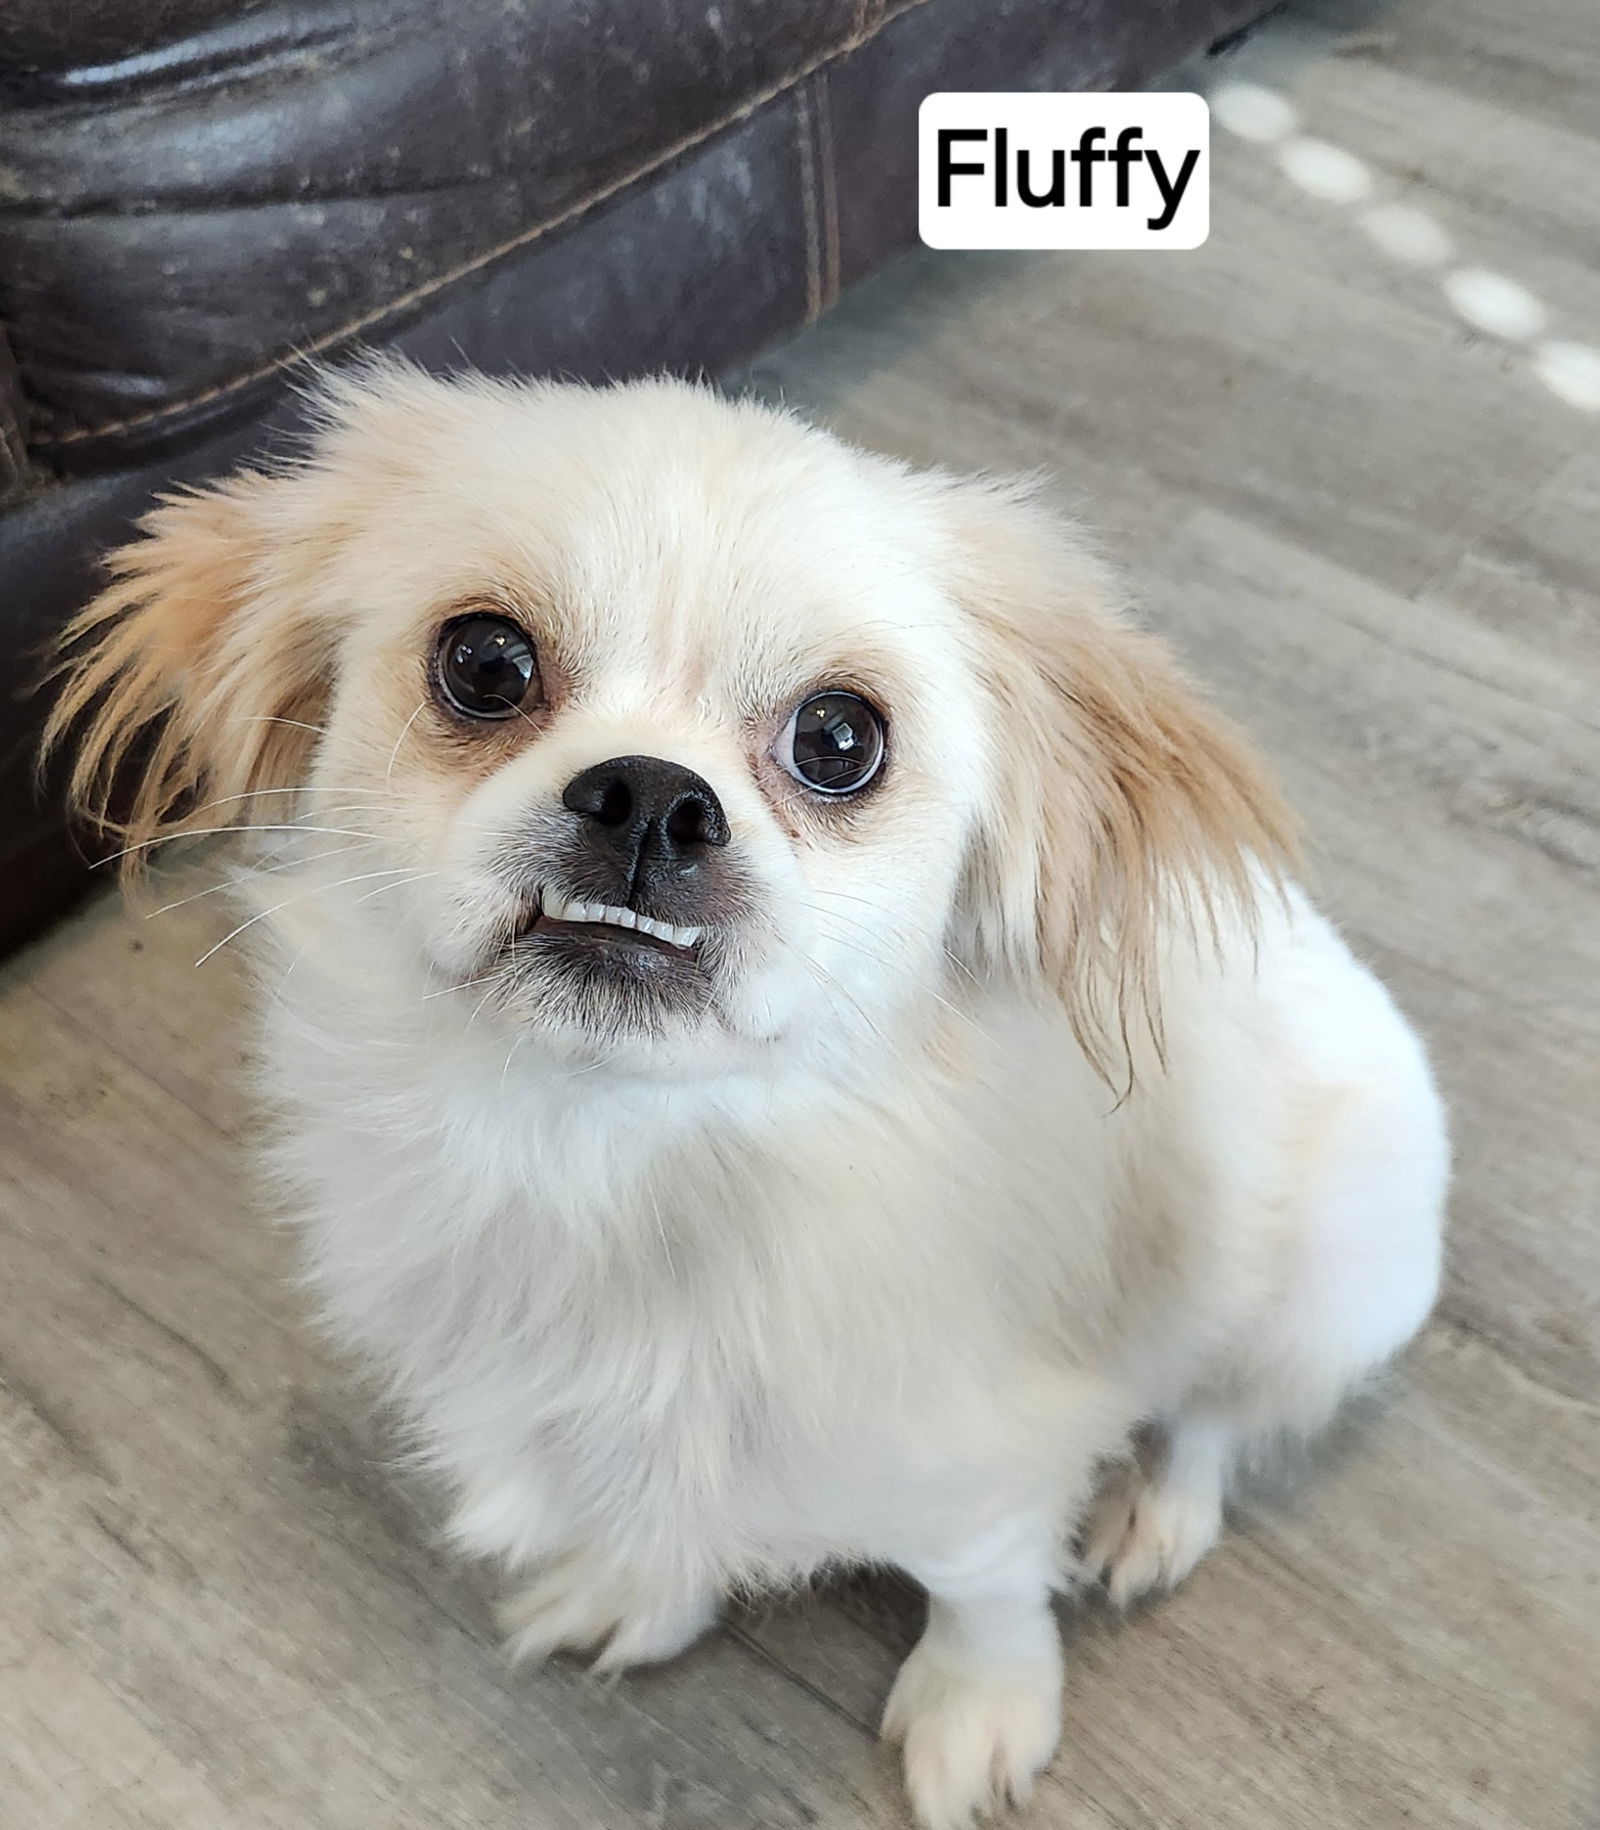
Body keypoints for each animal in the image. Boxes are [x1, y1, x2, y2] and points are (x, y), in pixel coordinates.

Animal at [53, 367, 1449, 1830]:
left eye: (839, 740)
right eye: (485, 662)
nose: (648, 795)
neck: (611, 1162)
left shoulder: (983, 1467)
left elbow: (987, 1586)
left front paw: (982, 1707)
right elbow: (664, 1514)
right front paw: (642, 1589)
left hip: (1328, 1273)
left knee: (1216, 1413)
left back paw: (1153, 1510)